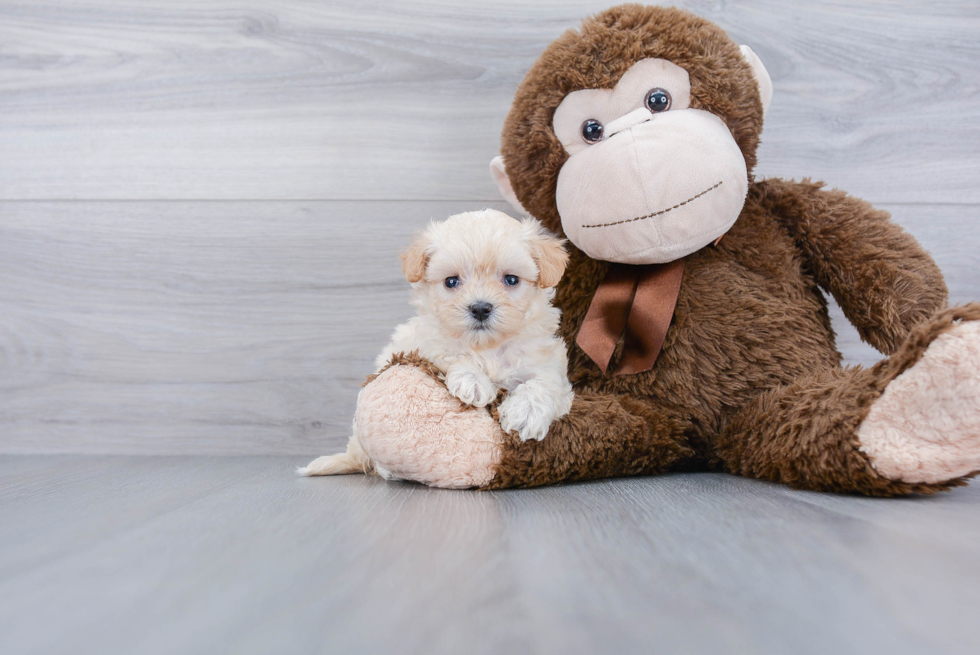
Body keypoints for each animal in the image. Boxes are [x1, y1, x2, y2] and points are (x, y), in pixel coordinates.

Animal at [298, 213, 576, 480]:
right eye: (451, 281)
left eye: (511, 279)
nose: (480, 308)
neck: (487, 347)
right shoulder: (422, 342)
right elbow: (450, 352)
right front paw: (473, 381)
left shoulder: (545, 360)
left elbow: (544, 382)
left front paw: (526, 413)